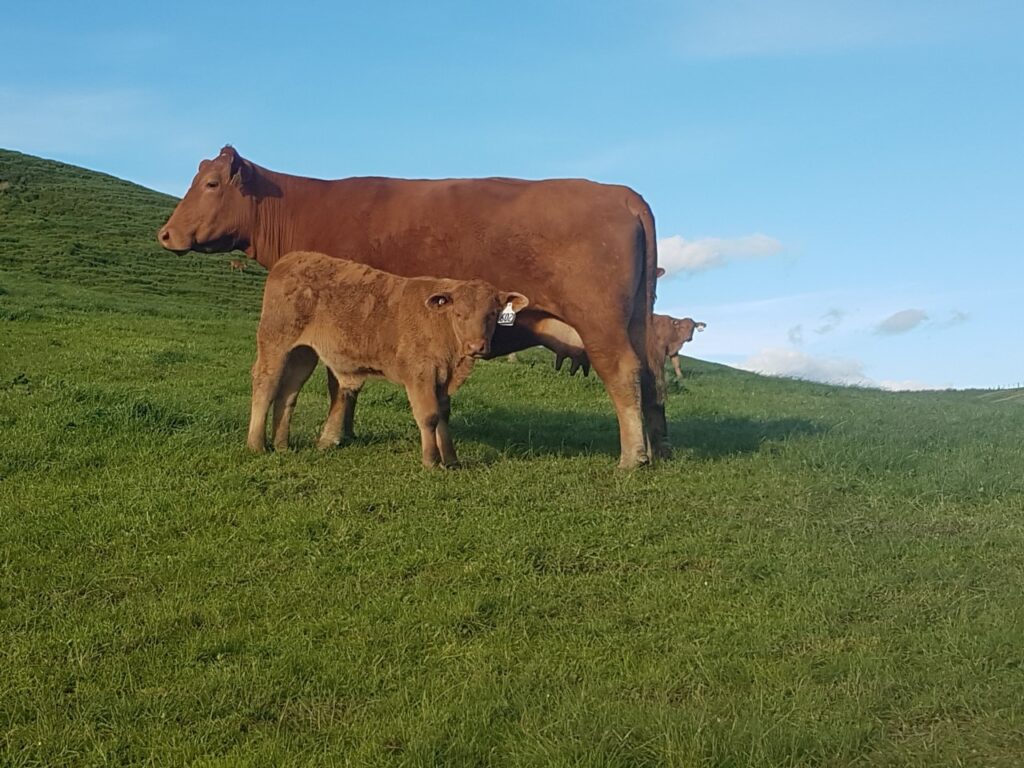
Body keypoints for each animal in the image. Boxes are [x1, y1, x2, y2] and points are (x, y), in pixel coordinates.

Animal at [249, 250, 529, 467]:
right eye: (459, 314)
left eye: (492, 314)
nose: (476, 346)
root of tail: (291, 258)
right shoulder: (420, 374)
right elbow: (428, 416)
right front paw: (431, 461)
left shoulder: (442, 379)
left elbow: (443, 415)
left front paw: (451, 460)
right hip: (275, 342)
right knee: (266, 385)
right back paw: (256, 445)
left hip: (303, 353)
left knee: (288, 393)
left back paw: (282, 445)